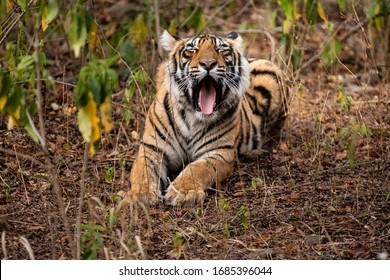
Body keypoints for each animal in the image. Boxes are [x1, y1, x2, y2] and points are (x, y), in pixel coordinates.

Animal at [126, 30, 288, 206]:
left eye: (221, 50)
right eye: (191, 50)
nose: (208, 63)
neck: (191, 117)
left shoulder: (219, 152)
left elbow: (198, 169)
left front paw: (183, 192)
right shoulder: (152, 148)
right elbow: (142, 171)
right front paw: (140, 195)